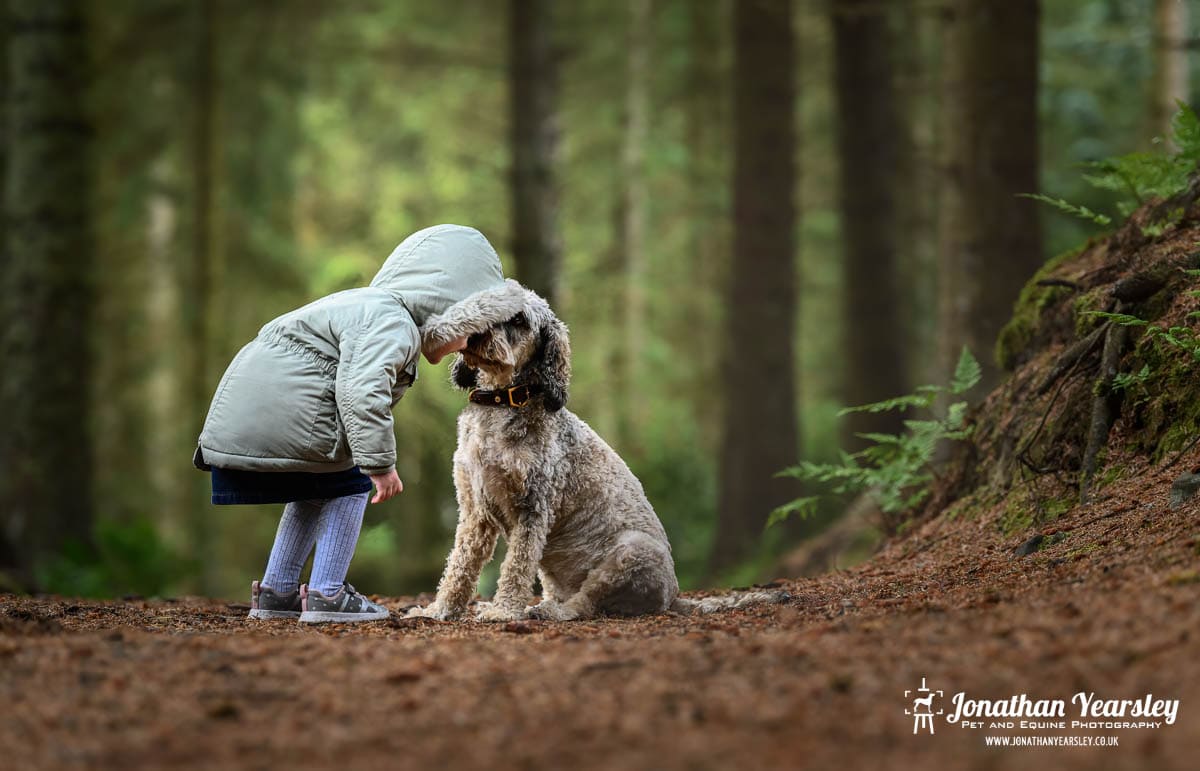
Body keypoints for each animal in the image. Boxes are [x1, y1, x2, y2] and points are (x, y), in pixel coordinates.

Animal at [405, 285, 777, 619]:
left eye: (519, 320)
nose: (476, 338)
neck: (503, 402)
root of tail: (674, 597)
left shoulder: (532, 508)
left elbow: (516, 566)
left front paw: (504, 610)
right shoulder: (473, 511)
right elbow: (460, 566)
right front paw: (439, 610)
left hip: (630, 552)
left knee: (586, 604)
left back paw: (547, 612)